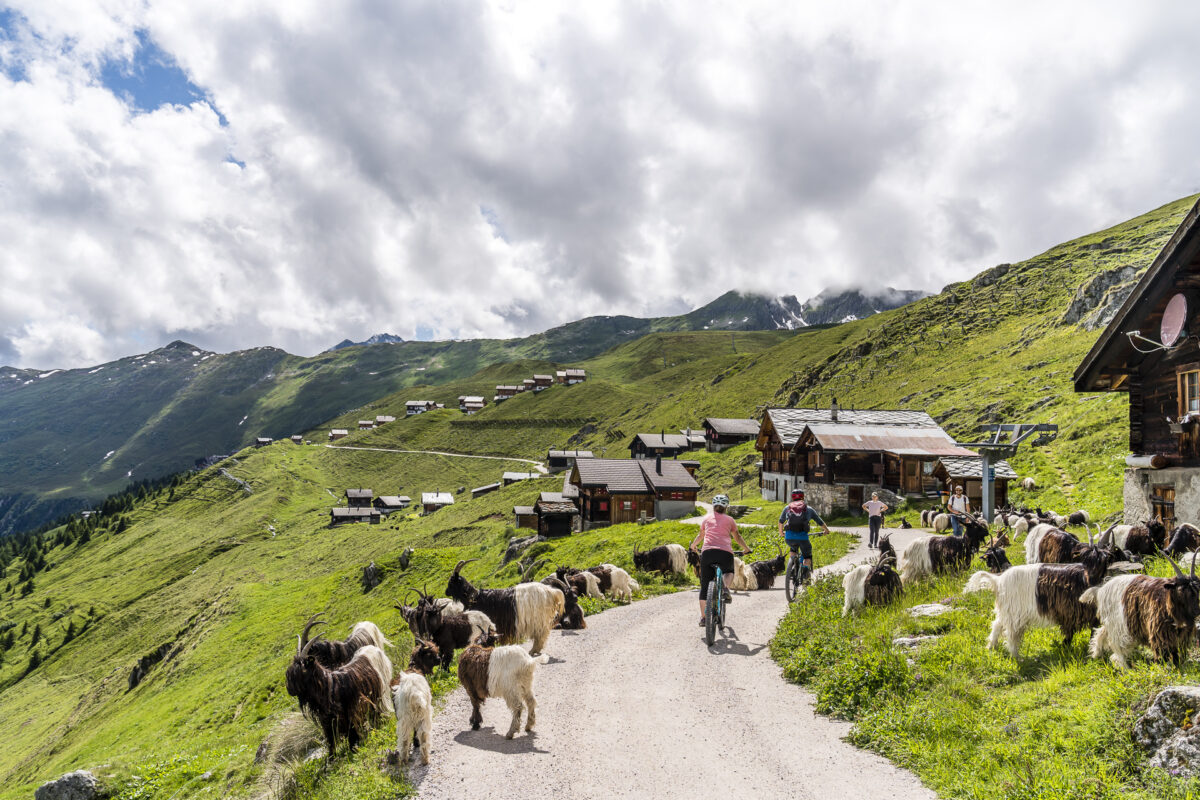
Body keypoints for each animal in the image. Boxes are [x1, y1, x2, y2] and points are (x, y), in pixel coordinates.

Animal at [964, 561, 1104, 662]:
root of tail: (998, 581)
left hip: (1007, 611)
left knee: (997, 625)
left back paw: (991, 647)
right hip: (1014, 614)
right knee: (1011, 635)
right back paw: (1016, 657)